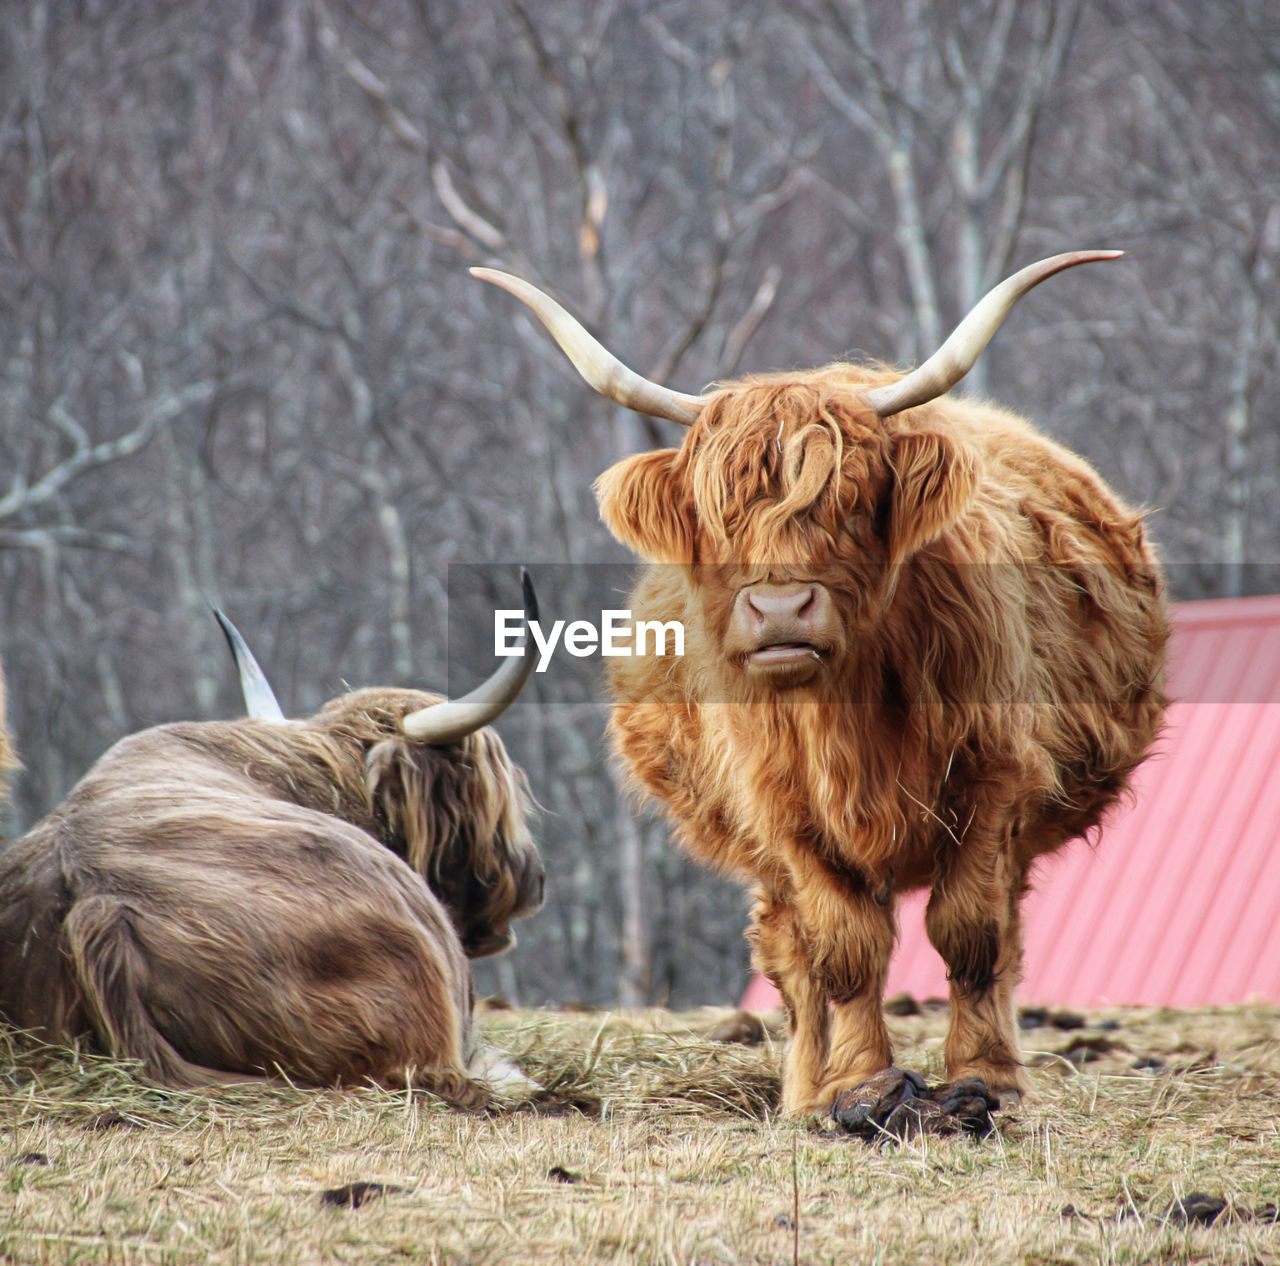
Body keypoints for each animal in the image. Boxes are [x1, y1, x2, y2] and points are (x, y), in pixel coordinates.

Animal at [478, 252, 1172, 1131]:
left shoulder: (993, 781)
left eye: (851, 500)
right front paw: (860, 1086)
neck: (845, 721)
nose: (780, 609)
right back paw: (805, 1092)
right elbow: (844, 947)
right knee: (792, 955)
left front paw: (987, 1080)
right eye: (717, 512)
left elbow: (969, 931)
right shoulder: (785, 814)